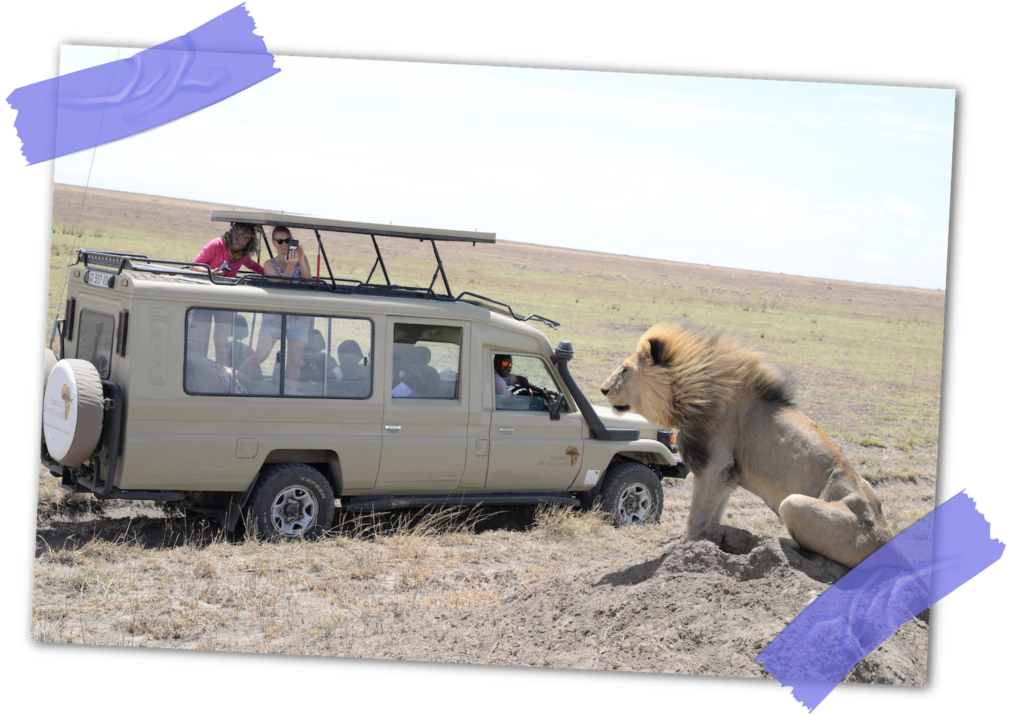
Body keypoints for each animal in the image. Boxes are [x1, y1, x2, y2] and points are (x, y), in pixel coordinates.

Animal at [600, 318, 892, 569]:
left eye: (624, 369)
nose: (603, 389)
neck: (689, 391)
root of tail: (886, 538)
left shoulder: (712, 467)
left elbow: (696, 517)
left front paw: (682, 548)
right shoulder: (727, 475)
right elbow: (712, 517)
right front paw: (709, 541)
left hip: (793, 503)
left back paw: (774, 542)